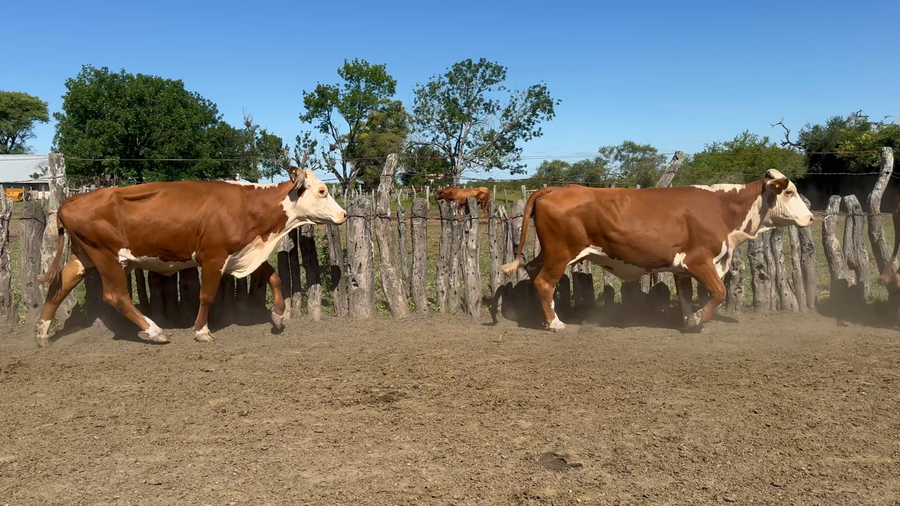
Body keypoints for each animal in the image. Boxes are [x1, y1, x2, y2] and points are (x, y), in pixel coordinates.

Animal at [35, 164, 346, 347]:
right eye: (322, 190)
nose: (343, 214)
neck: (247, 205)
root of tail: (73, 199)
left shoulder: (241, 253)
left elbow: (275, 278)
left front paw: (279, 316)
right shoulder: (213, 257)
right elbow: (206, 295)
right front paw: (201, 330)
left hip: (83, 256)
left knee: (60, 286)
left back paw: (41, 333)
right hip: (107, 257)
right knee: (115, 296)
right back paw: (155, 331)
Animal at [501, 169, 814, 331]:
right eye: (789, 192)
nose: (811, 217)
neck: (722, 208)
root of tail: (554, 189)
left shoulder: (682, 268)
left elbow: (686, 295)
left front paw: (687, 319)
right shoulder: (700, 261)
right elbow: (719, 292)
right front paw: (697, 320)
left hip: (549, 252)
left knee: (532, 270)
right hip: (561, 252)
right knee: (544, 281)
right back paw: (555, 323)